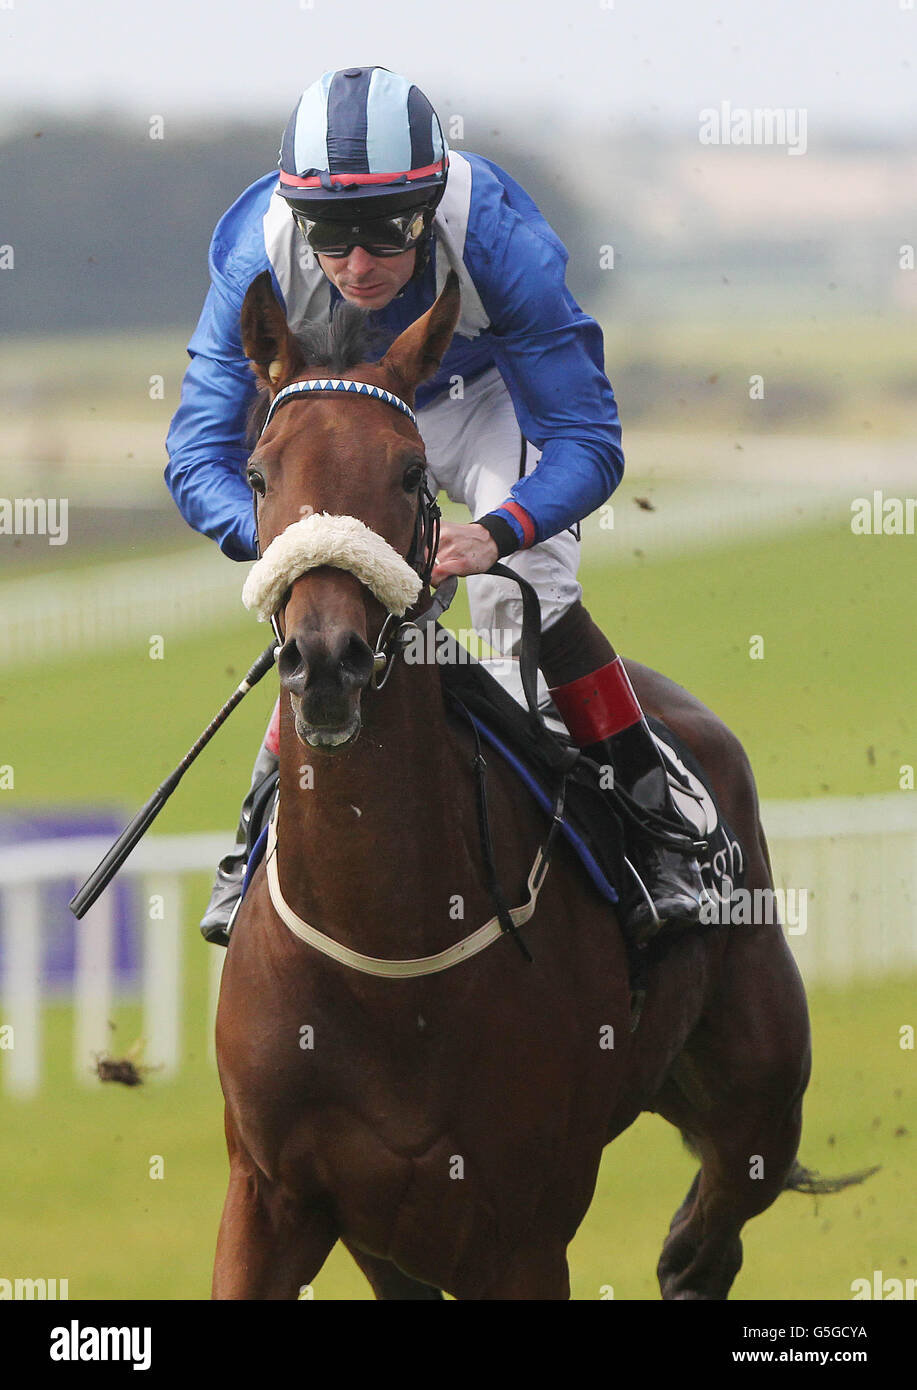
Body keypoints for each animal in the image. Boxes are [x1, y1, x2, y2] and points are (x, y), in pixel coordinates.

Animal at [211, 271, 811, 1301]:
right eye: (258, 474)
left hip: (759, 1087)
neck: (382, 961)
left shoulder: (524, 1232)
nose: (325, 661)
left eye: (409, 472)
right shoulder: (270, 1201)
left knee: (717, 1222)